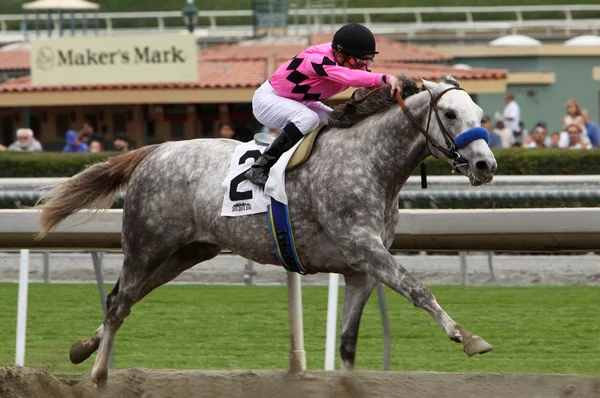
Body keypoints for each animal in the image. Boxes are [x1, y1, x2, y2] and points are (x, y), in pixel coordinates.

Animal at [37, 74, 496, 386]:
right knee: (118, 302)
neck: (369, 162)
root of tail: (154, 150)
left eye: (480, 115)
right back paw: (97, 376)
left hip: (185, 252)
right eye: (450, 114)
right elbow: (419, 290)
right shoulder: (364, 247)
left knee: (127, 299)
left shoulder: (361, 268)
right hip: (146, 245)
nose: (486, 164)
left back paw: (83, 348)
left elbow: (347, 342)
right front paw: (468, 336)